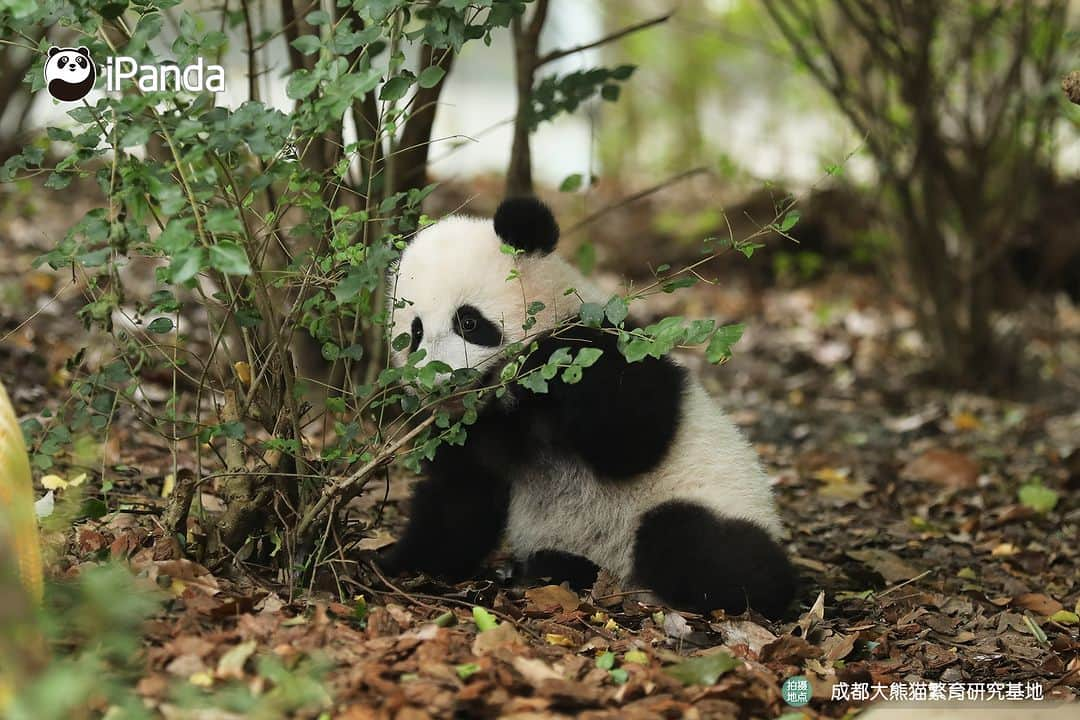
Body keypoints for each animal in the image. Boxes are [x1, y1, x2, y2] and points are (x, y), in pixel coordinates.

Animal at [378, 197, 794, 621]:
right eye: (414, 333)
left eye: (469, 322)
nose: (438, 381)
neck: (505, 403)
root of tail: (622, 578)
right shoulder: (467, 428)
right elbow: (460, 497)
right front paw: (396, 563)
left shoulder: (613, 343)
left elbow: (633, 438)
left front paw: (542, 358)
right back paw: (551, 568)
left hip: (710, 497)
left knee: (698, 543)